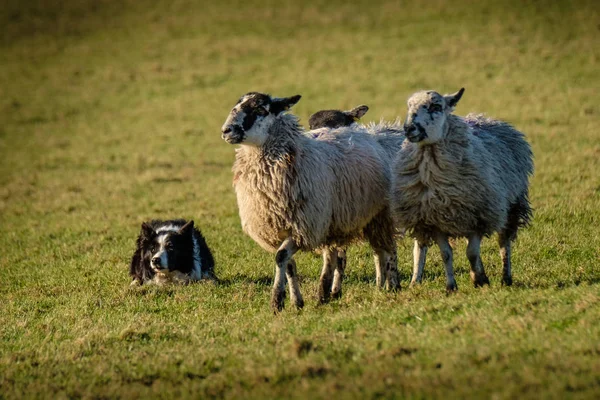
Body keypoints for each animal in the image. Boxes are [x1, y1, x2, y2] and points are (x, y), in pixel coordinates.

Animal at [220, 92, 398, 310]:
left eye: (261, 109)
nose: (226, 131)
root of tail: (374, 133)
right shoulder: (279, 230)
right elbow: (288, 264)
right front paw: (296, 301)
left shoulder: (303, 227)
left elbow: (281, 256)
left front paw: (276, 301)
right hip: (335, 223)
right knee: (337, 256)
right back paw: (327, 292)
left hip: (381, 214)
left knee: (388, 248)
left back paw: (393, 284)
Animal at [392, 88, 532, 290]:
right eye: (409, 106)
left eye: (436, 106)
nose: (409, 128)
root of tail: (488, 119)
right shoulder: (434, 220)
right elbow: (446, 254)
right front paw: (452, 286)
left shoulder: (478, 216)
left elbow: (472, 252)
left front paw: (479, 280)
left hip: (512, 206)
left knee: (504, 243)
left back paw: (506, 278)